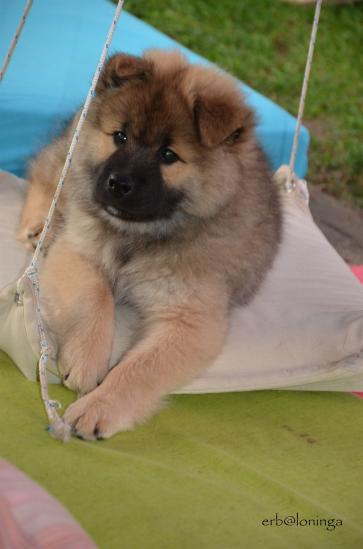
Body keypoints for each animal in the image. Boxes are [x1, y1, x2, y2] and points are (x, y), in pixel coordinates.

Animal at [18, 49, 282, 438]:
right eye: (120, 137)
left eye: (168, 155)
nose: (118, 183)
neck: (141, 235)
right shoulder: (77, 251)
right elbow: (97, 297)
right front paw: (86, 358)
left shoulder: (189, 320)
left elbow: (140, 370)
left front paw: (97, 408)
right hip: (72, 158)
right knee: (46, 172)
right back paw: (39, 226)